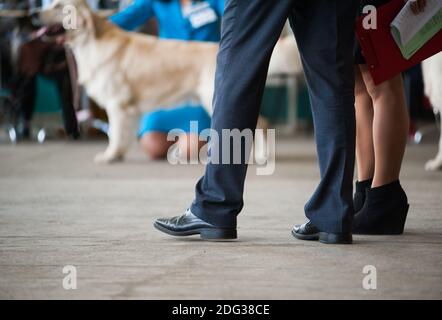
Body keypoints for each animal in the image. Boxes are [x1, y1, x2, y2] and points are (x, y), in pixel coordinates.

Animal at [38, 0, 302, 164]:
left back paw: (260, 156)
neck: (91, 41)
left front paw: (109, 156)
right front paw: (118, 154)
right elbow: (122, 135)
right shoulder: (126, 108)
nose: (33, 15)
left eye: (59, 6)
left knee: (261, 124)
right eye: (49, 4)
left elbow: (115, 134)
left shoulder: (117, 103)